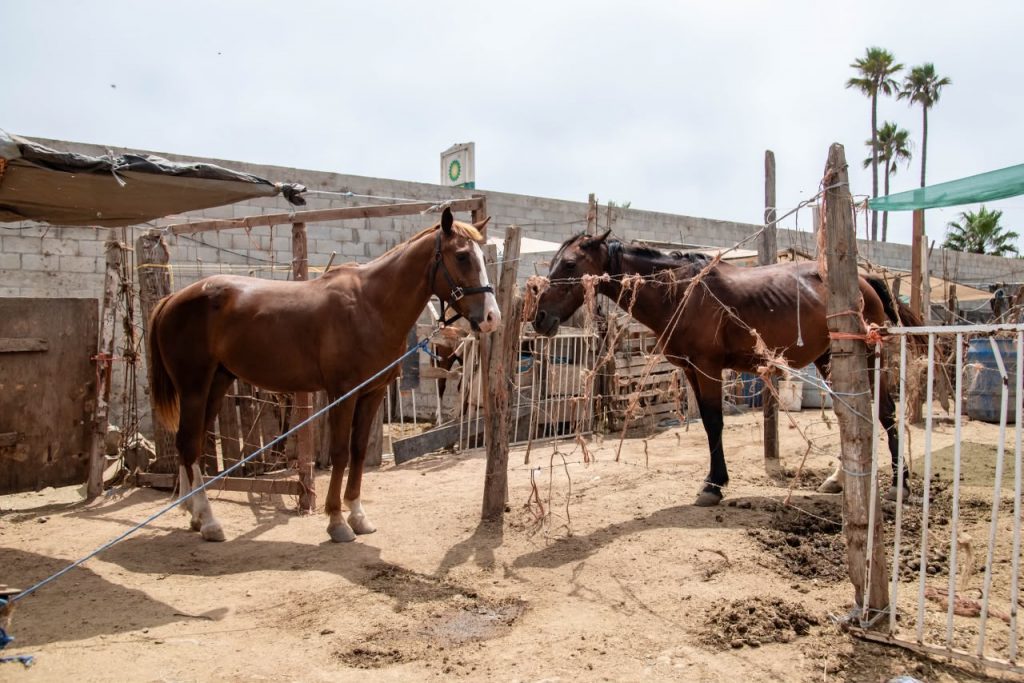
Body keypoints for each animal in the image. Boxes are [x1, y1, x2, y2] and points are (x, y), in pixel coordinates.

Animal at [148, 207, 501, 542]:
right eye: (462, 256)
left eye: (483, 257)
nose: (491, 317)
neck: (370, 305)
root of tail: (172, 299)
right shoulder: (343, 394)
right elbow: (340, 453)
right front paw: (336, 521)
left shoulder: (371, 393)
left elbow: (358, 452)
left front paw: (357, 515)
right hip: (193, 387)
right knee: (189, 444)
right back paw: (209, 521)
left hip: (217, 383)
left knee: (193, 443)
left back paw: (194, 513)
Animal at [532, 230, 920, 506]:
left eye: (569, 264)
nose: (539, 318)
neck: (681, 292)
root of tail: (867, 280)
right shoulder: (691, 371)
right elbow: (708, 423)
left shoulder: (707, 369)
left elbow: (714, 424)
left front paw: (713, 485)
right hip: (830, 359)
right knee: (852, 413)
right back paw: (841, 479)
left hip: (867, 359)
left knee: (884, 413)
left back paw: (899, 485)